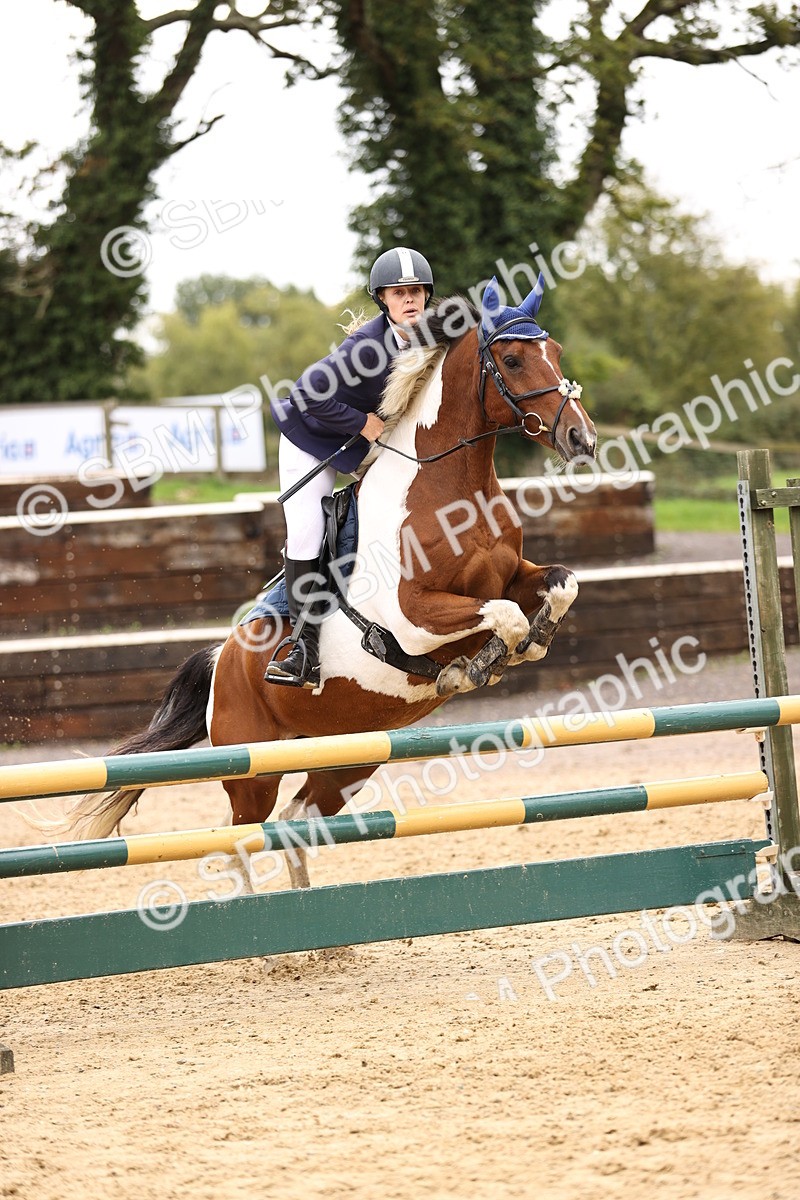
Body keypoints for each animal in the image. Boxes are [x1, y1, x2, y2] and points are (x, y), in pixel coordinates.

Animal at [48, 276, 596, 888]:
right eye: (512, 359)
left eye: (556, 353)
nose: (582, 438)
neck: (449, 489)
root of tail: (220, 662)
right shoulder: (412, 616)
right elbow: (503, 614)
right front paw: (474, 667)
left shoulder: (513, 575)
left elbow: (559, 585)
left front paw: (531, 643)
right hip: (252, 767)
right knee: (238, 839)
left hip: (348, 759)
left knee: (294, 821)